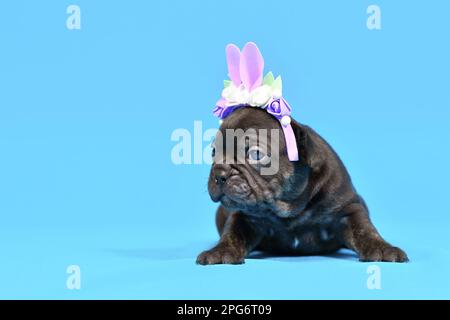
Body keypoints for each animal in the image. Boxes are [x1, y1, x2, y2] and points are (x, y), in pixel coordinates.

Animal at [196, 107, 408, 264]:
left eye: (256, 154)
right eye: (214, 152)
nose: (219, 174)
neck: (289, 209)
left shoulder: (349, 209)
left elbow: (365, 230)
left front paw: (382, 248)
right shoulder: (244, 216)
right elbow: (232, 234)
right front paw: (220, 251)